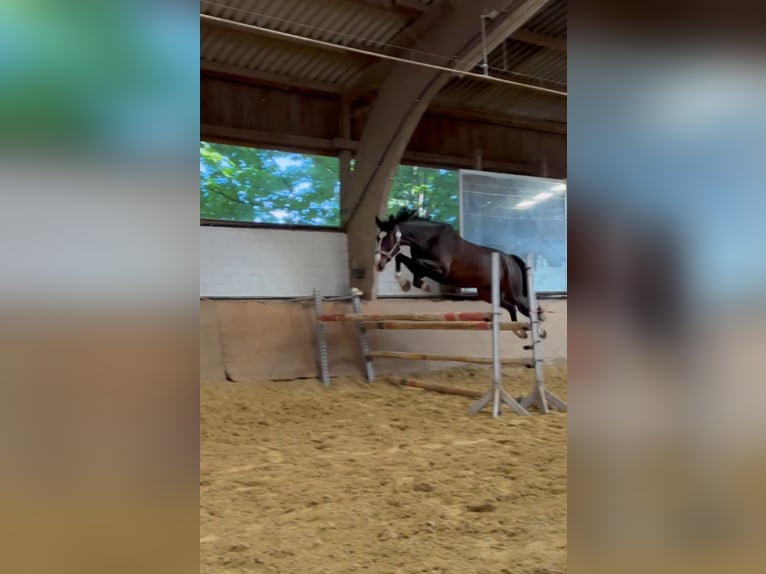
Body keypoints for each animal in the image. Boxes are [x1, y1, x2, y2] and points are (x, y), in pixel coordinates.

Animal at [374, 208, 543, 326]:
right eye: (377, 238)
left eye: (388, 237)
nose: (378, 264)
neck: (428, 239)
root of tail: (510, 258)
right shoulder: (423, 268)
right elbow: (404, 260)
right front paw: (408, 285)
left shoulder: (442, 270)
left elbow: (416, 263)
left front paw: (416, 285)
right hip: (486, 293)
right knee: (511, 307)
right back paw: (518, 331)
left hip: (513, 292)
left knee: (525, 307)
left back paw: (539, 331)